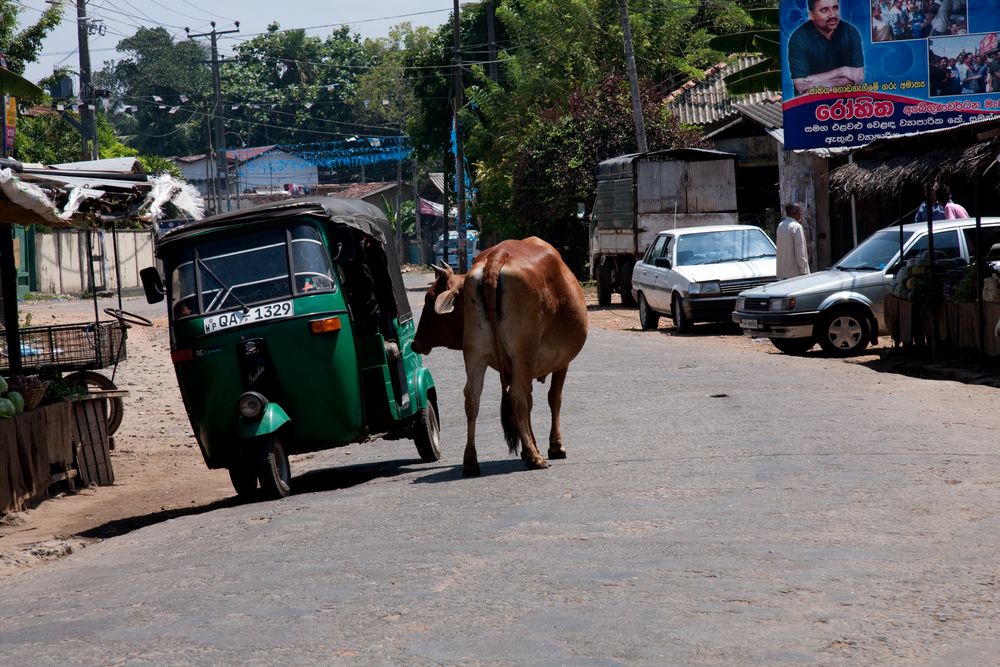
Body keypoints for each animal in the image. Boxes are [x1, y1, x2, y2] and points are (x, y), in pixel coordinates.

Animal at [412, 237, 588, 478]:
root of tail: (498, 256)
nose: (415, 343)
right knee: (516, 397)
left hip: (476, 353)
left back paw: (471, 462)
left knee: (472, 398)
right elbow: (553, 398)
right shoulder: (560, 361)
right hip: (523, 352)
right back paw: (535, 458)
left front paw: (530, 447)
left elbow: (531, 402)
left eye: (430, 300)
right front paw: (554, 447)